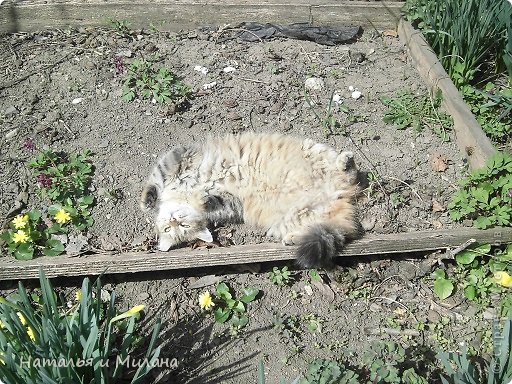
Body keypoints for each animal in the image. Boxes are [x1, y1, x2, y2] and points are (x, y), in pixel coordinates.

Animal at [141, 132, 360, 268]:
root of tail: (340, 194)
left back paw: (346, 160)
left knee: (348, 172)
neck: (183, 195)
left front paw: (146, 202)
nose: (173, 220)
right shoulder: (232, 203)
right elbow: (214, 200)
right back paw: (291, 239)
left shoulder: (177, 159)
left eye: (183, 226)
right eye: (169, 229)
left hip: (315, 150)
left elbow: (154, 183)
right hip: (292, 219)